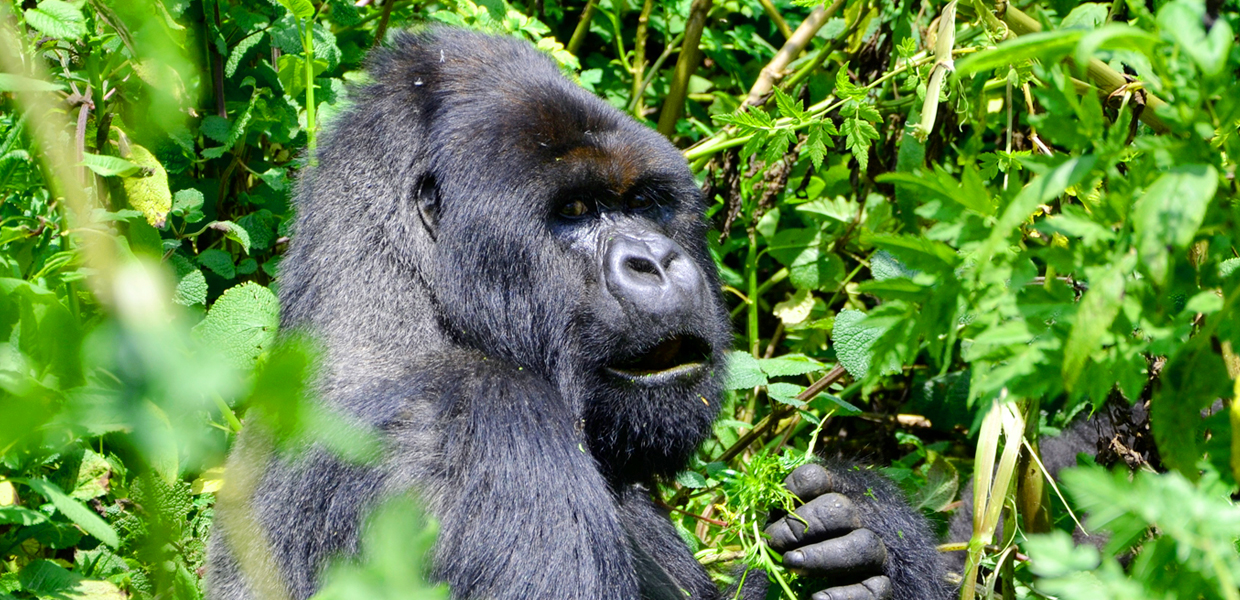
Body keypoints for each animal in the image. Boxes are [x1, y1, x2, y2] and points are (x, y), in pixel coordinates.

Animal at [208, 26, 952, 600]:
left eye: (646, 203)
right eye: (573, 211)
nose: (656, 262)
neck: (409, 303)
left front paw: (865, 531)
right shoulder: (483, 428)